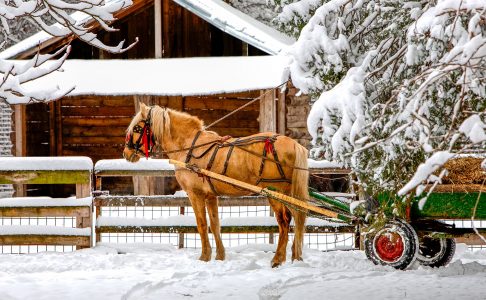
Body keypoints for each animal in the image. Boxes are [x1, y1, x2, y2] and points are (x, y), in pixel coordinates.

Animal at [123, 102, 310, 268]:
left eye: (137, 128)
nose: (126, 153)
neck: (190, 146)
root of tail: (294, 144)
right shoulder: (211, 196)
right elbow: (215, 225)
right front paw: (220, 256)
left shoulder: (195, 194)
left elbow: (202, 224)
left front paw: (204, 256)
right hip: (289, 193)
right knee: (298, 218)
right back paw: (296, 256)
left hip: (275, 192)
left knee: (284, 222)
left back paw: (278, 259)